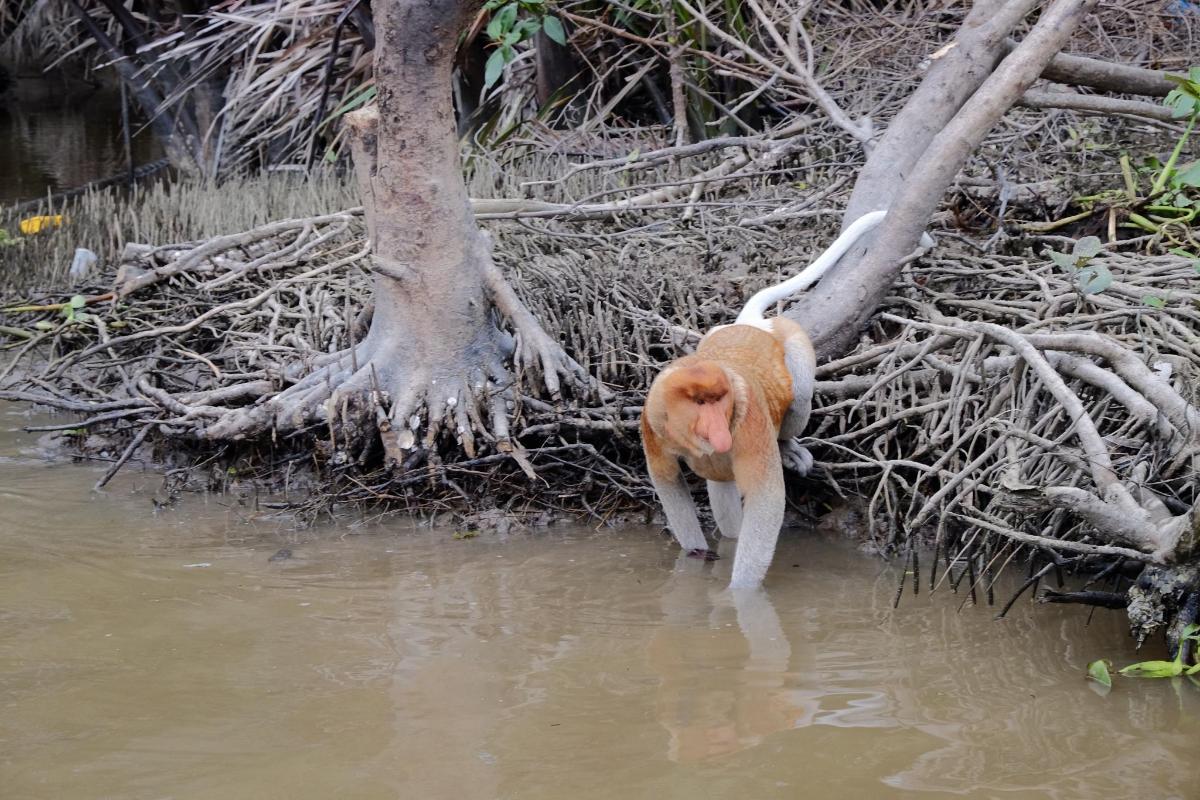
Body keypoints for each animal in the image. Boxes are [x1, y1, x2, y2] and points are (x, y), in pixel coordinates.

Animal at [643, 212, 888, 587]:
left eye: (719, 400)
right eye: (700, 404)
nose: (718, 431)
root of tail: (753, 326)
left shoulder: (749, 422)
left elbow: (766, 498)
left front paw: (739, 592)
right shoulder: (653, 422)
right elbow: (668, 482)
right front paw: (697, 559)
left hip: (794, 341)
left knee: (799, 396)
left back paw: (788, 447)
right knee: (722, 488)